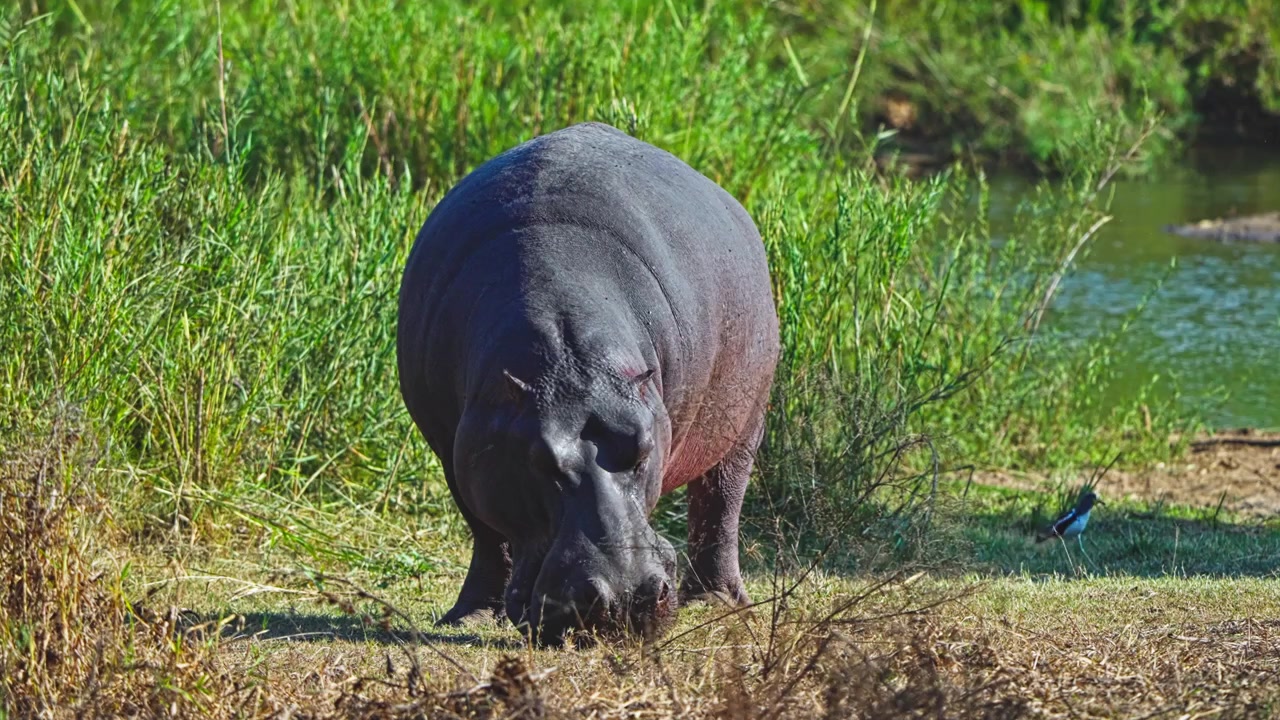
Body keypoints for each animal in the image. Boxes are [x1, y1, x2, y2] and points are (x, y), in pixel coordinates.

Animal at [396, 122, 779, 645]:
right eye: (538, 460)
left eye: (643, 448)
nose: (623, 600)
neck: (571, 367)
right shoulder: (455, 451)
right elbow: (487, 535)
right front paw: (469, 617)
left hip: (745, 421)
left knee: (721, 504)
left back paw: (718, 602)